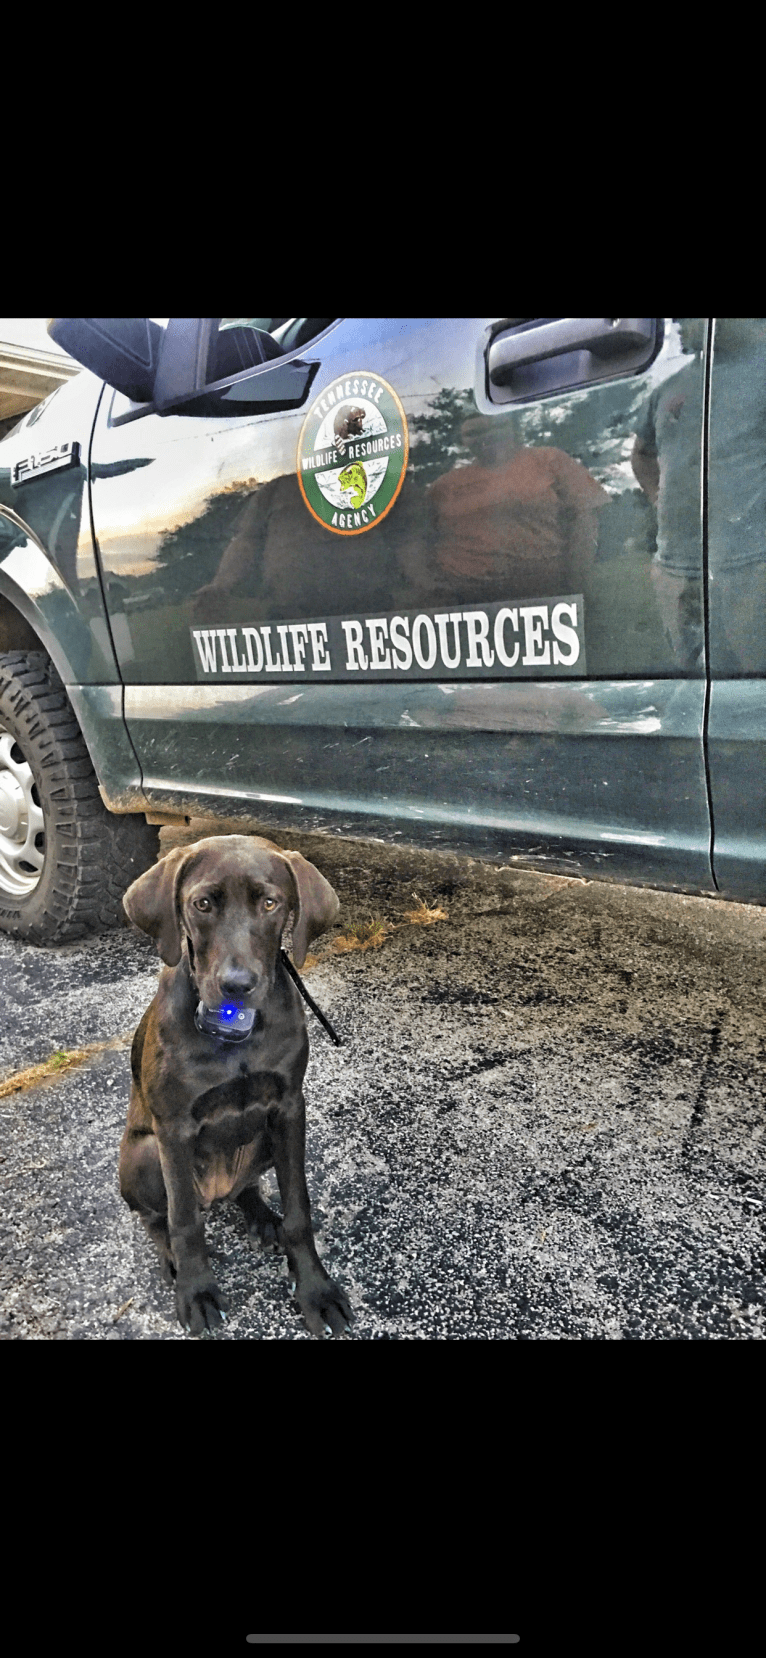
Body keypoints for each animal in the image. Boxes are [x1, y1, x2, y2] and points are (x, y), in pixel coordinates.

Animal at [117, 835, 353, 1339]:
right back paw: (172, 1259)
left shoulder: (289, 1108)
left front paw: (315, 1290)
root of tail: (217, 1193)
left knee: (247, 1189)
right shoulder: (173, 1129)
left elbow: (299, 1208)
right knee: (156, 1218)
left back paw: (265, 1220)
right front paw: (197, 1293)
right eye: (202, 904)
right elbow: (184, 1221)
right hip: (144, 1155)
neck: (235, 1030)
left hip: (262, 1139)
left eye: (270, 903)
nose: (237, 985)